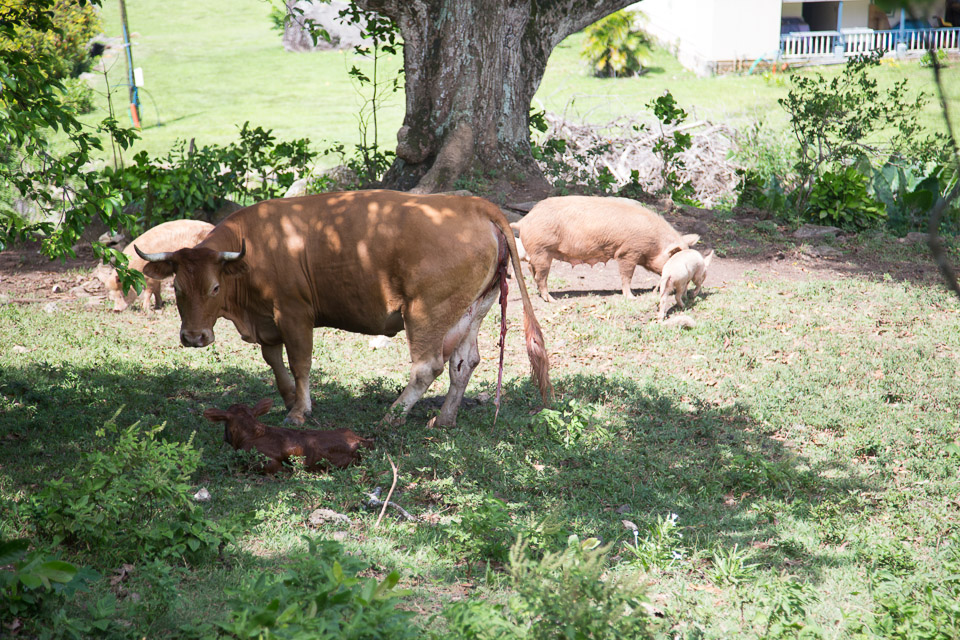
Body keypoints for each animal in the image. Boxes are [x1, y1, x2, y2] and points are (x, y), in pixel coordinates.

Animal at [138, 191, 552, 430]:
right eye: (177, 288)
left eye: (214, 287)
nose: (194, 337)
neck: (254, 247)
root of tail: (473, 205)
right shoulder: (266, 321)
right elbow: (275, 363)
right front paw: (288, 398)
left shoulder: (294, 314)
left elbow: (300, 363)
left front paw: (299, 410)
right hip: (471, 310)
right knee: (463, 363)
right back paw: (445, 419)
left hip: (426, 313)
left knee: (427, 366)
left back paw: (393, 415)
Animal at [510, 195, 696, 302]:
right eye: (674, 259)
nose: (687, 290)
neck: (654, 242)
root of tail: (524, 220)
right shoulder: (628, 251)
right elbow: (627, 275)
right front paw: (631, 297)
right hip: (543, 251)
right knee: (540, 276)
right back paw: (551, 300)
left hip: (539, 253)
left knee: (532, 269)